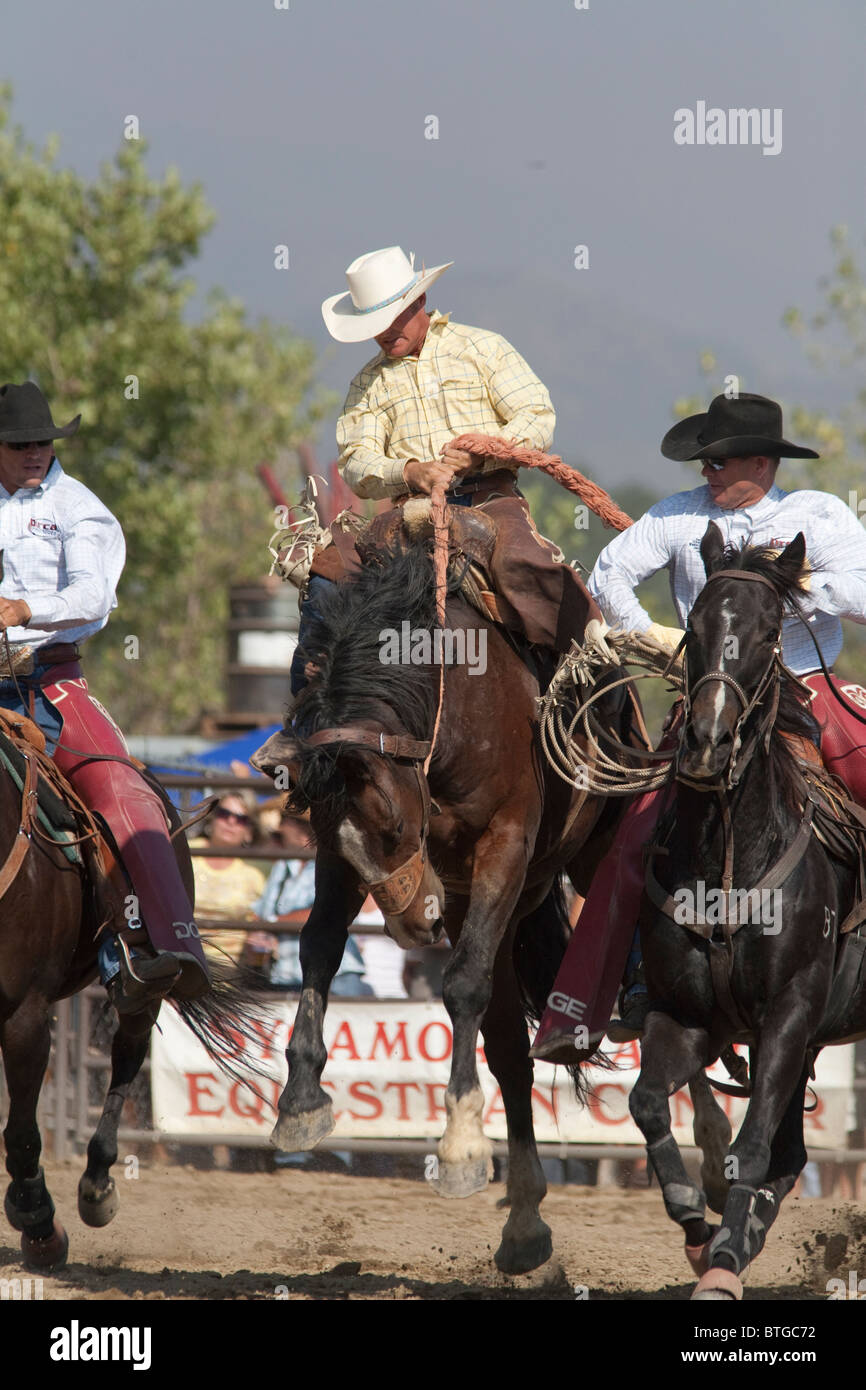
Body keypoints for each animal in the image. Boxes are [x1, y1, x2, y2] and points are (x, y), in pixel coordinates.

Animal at [631, 522, 866, 1301]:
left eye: (769, 633)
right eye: (695, 627)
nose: (708, 744)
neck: (730, 861)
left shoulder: (790, 1013)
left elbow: (753, 1142)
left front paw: (725, 1256)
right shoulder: (688, 1016)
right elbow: (650, 1104)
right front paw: (700, 1229)